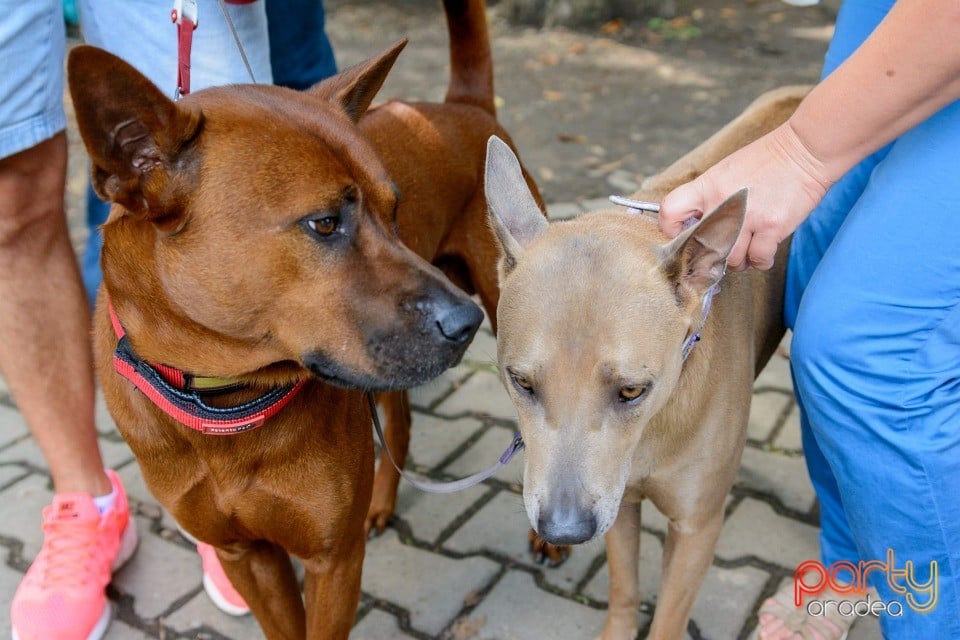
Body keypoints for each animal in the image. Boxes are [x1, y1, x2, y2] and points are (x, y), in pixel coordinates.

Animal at [70, 0, 540, 636]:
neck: (224, 400)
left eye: (395, 212)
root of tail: (462, 106)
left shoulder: (332, 561)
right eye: (323, 224)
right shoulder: (246, 556)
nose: (463, 324)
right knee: (399, 417)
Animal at [488, 86, 808, 640]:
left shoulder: (697, 527)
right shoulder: (619, 505)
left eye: (633, 390)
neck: (656, 426)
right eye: (521, 382)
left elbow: (668, 618)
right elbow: (624, 587)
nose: (564, 529)